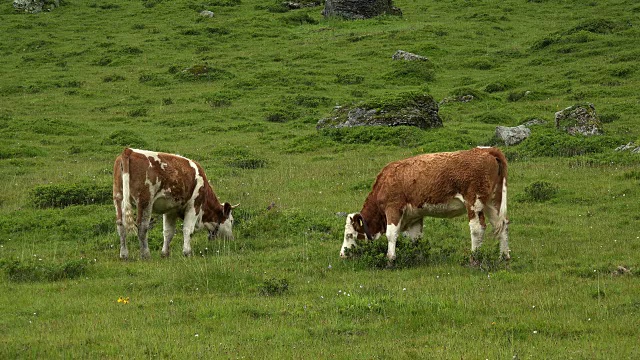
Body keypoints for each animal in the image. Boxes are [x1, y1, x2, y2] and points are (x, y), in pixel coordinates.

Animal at [340, 146, 510, 262]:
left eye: (349, 235)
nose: (342, 254)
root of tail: (488, 150)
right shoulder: (415, 215)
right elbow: (415, 238)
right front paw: (417, 257)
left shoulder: (393, 208)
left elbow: (391, 234)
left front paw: (390, 259)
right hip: (493, 202)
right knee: (501, 224)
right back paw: (504, 257)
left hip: (474, 202)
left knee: (477, 228)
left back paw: (474, 258)